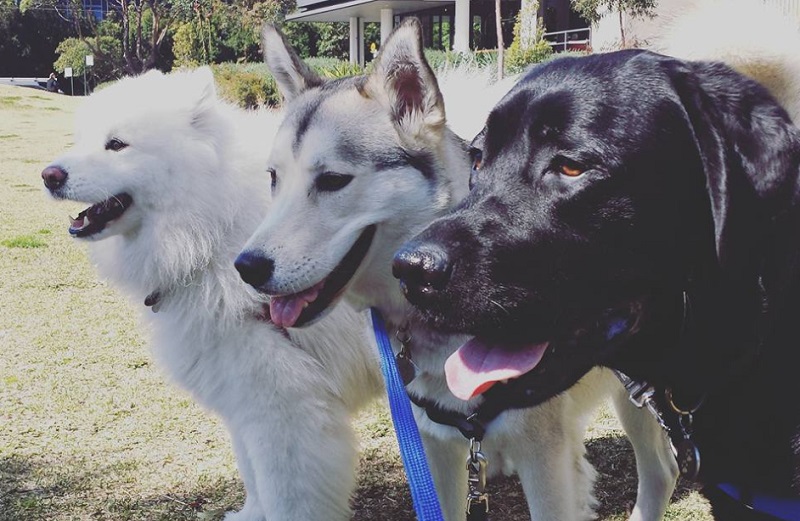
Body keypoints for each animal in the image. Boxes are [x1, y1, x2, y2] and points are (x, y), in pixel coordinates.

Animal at [40, 69, 384, 520]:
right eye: (81, 139)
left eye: (116, 144)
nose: (49, 175)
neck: (211, 230)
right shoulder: (242, 400)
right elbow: (253, 476)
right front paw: (249, 515)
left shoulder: (286, 412)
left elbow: (284, 497)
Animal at [236, 20, 676, 520]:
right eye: (273, 178)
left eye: (332, 180)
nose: (246, 267)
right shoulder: (437, 446)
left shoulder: (543, 457)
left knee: (662, 470)